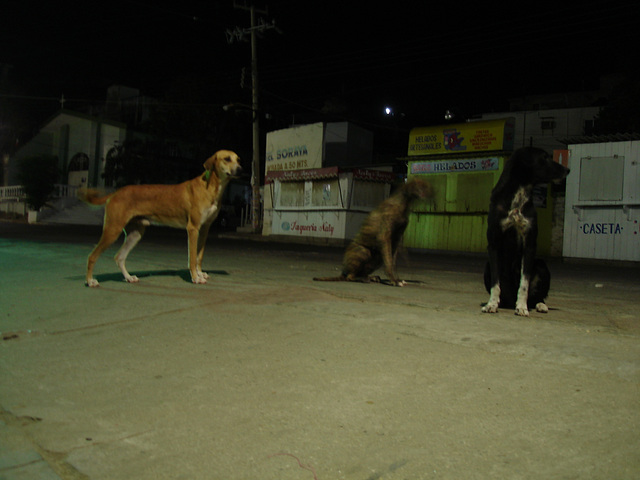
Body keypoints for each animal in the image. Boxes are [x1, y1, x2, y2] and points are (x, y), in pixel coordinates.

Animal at [77, 149, 241, 284]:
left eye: (238, 159)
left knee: (119, 257)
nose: (240, 169)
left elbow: (199, 256)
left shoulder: (205, 228)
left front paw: (200, 274)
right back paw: (90, 281)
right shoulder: (193, 229)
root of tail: (116, 193)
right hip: (112, 230)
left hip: (135, 234)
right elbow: (193, 258)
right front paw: (195, 277)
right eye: (227, 159)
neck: (211, 186)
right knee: (92, 256)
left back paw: (129, 277)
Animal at [482, 148, 568, 316]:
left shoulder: (529, 243)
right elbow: (496, 282)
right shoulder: (494, 243)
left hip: (541, 266)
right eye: (545, 158)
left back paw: (540, 305)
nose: (567, 170)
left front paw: (521, 307)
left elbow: (524, 283)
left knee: (536, 297)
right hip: (487, 267)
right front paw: (492, 304)